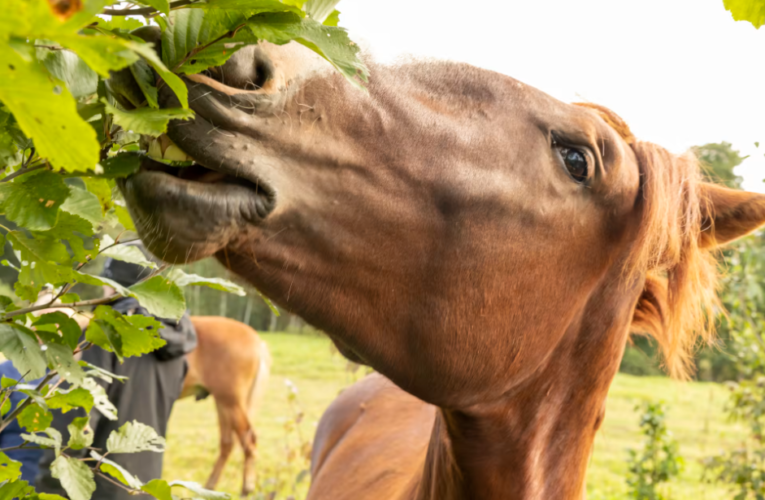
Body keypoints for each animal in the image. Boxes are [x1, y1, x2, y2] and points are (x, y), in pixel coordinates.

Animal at [180, 316, 272, 496]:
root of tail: (257, 342)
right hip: (223, 403)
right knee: (228, 443)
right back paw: (209, 487)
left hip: (231, 402)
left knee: (248, 440)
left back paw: (247, 487)